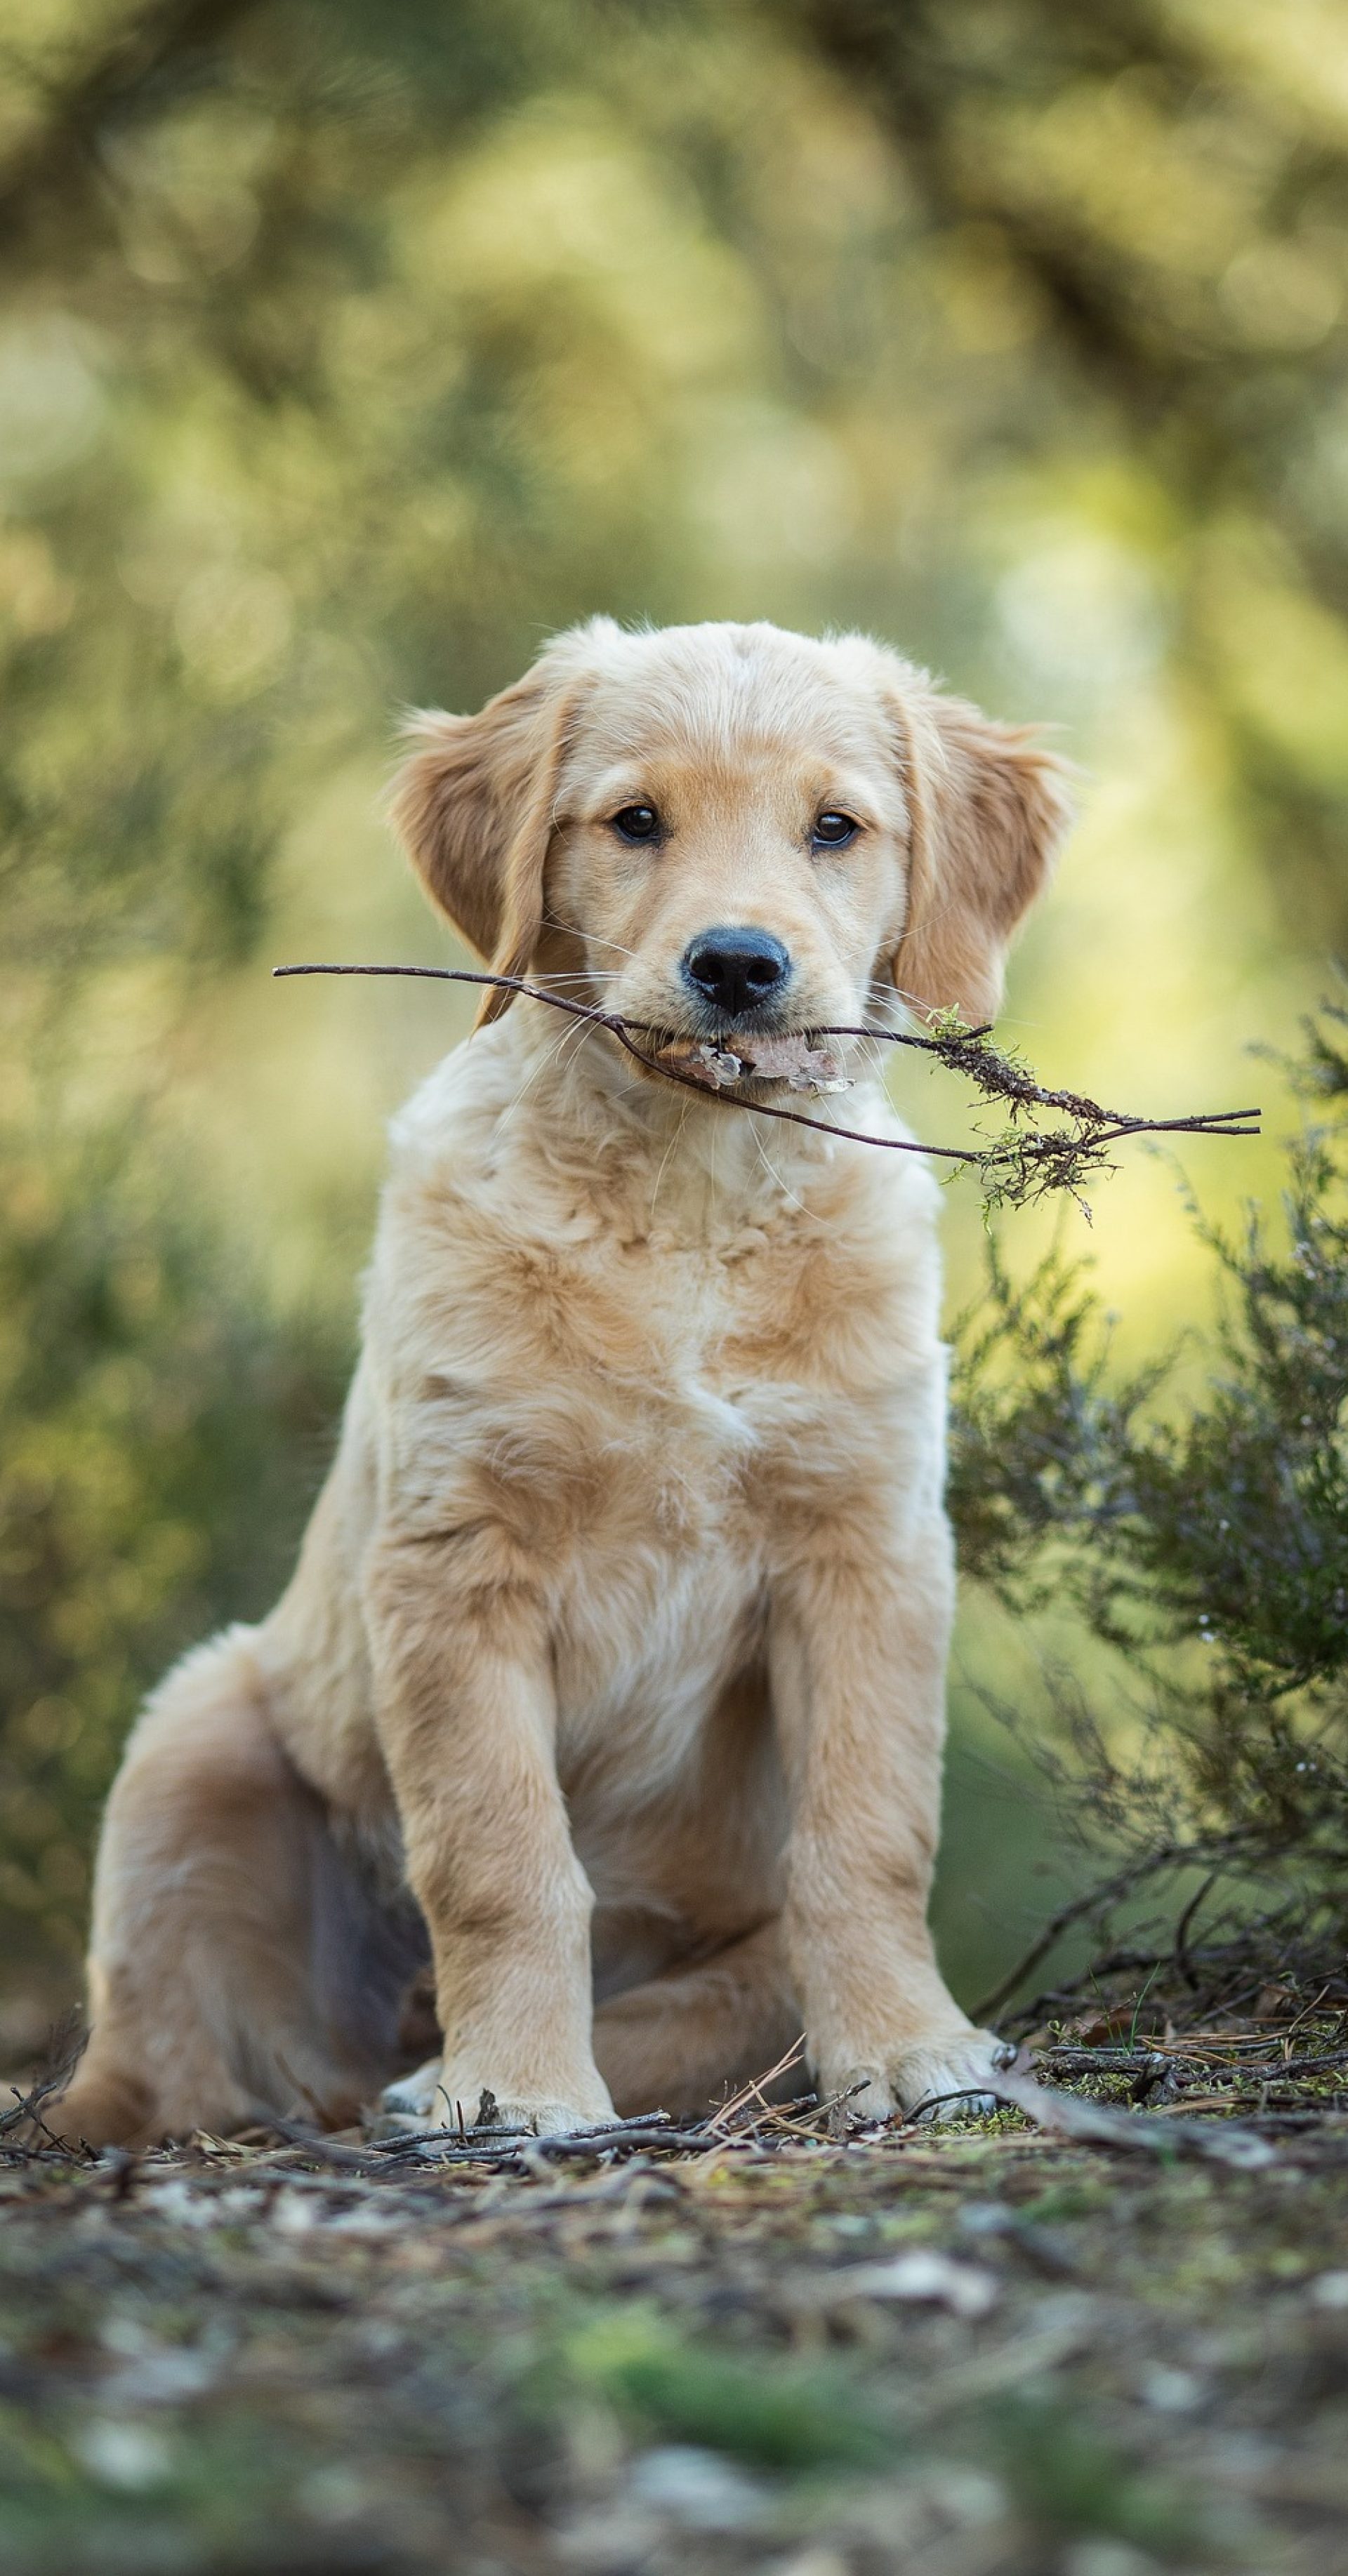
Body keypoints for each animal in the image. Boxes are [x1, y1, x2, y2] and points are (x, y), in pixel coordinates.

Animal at [50, 623, 1066, 2153]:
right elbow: (499, 1852)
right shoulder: (458, 1558)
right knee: (180, 2071)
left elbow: (871, 1831)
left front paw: (908, 2047)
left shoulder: (868, 1547)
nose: (738, 965)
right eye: (634, 822)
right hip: (198, 1729)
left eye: (835, 828)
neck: (694, 1200)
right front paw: (515, 2087)